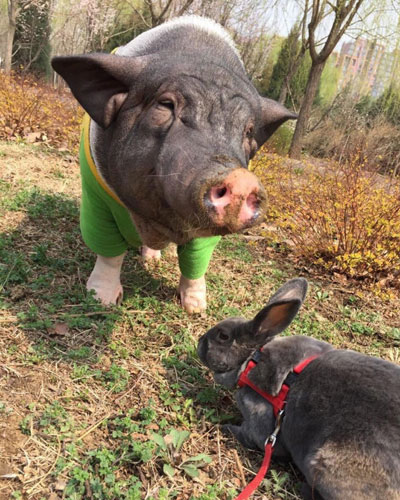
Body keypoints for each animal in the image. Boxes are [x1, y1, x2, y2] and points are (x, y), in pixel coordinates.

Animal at [50, 16, 296, 312]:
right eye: (166, 104)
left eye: (248, 131)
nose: (242, 179)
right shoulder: (97, 194)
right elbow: (109, 251)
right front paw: (102, 300)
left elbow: (195, 263)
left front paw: (197, 308)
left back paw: (152, 260)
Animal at [198, 280, 400, 498]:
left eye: (223, 336)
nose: (200, 342)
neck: (253, 358)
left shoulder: (260, 423)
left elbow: (248, 435)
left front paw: (223, 427)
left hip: (323, 465)